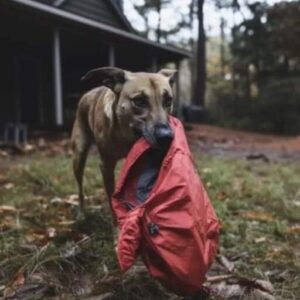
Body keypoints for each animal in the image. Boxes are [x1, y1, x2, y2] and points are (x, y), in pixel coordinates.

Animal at [71, 67, 177, 218]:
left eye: (168, 101)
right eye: (139, 101)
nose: (166, 137)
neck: (126, 137)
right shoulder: (106, 166)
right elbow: (112, 200)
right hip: (79, 155)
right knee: (80, 187)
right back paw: (81, 212)